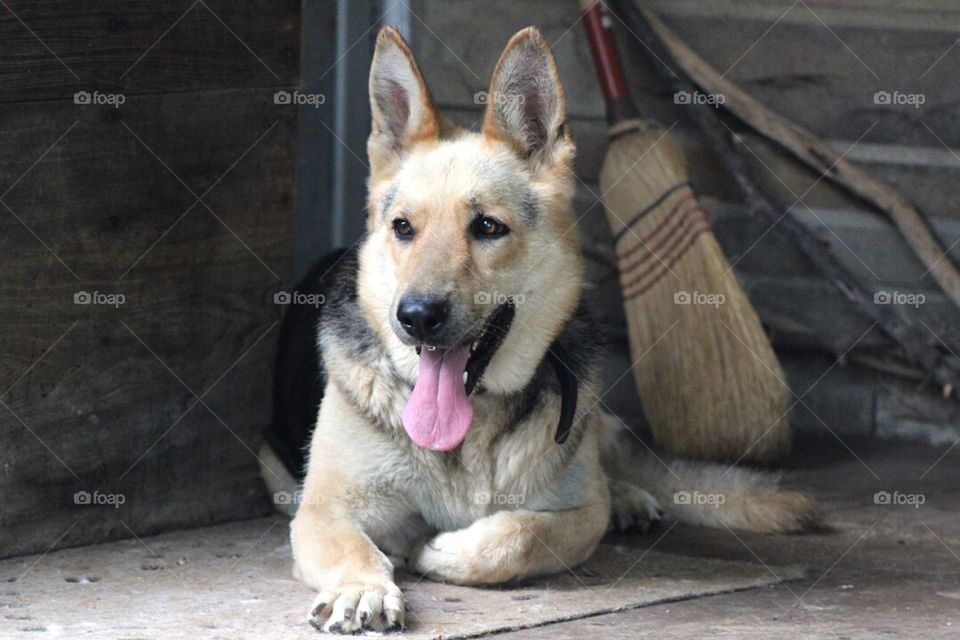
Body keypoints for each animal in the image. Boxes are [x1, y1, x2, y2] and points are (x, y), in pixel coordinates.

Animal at [266, 26, 820, 636]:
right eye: (403, 228)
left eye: (487, 227)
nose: (415, 318)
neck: (472, 426)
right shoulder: (323, 512)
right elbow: (356, 548)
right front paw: (362, 586)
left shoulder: (577, 514)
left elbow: (522, 533)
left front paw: (445, 550)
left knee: (605, 461)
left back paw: (629, 495)